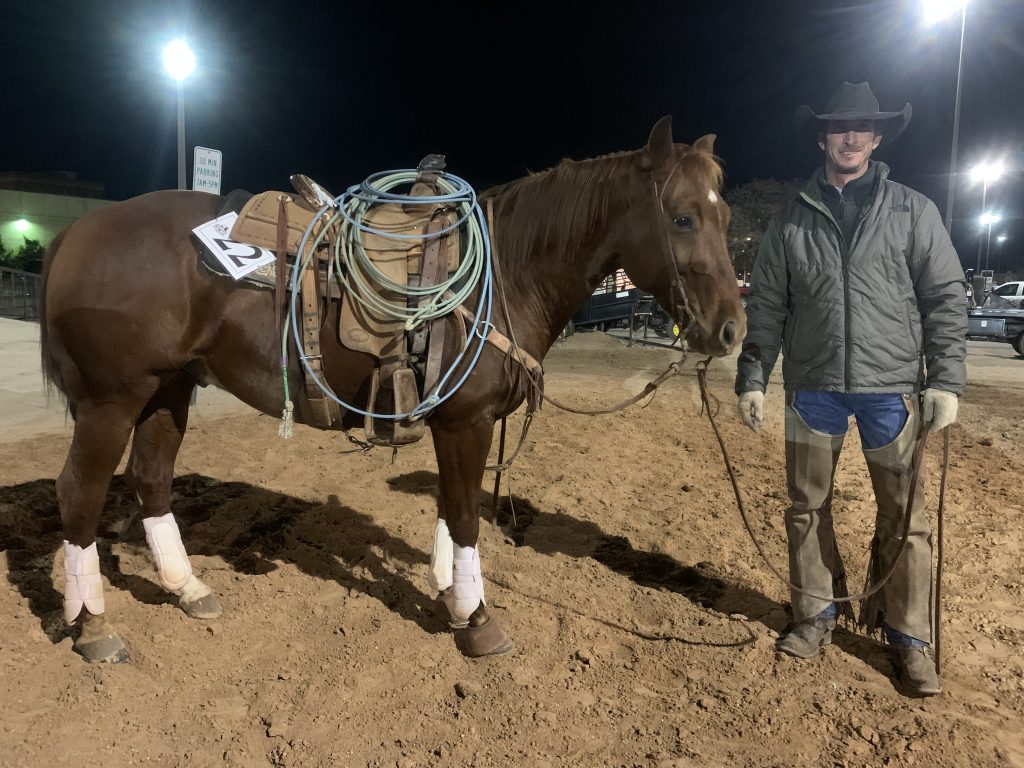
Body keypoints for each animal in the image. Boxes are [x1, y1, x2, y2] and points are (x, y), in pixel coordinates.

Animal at [39, 116, 745, 663]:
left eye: (726, 215)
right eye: (683, 218)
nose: (730, 328)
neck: (508, 271)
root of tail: (78, 231)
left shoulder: (454, 423)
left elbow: (449, 512)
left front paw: (451, 598)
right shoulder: (466, 422)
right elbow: (466, 519)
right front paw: (478, 620)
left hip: (169, 389)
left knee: (150, 481)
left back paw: (186, 589)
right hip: (111, 400)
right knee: (79, 494)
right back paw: (92, 626)